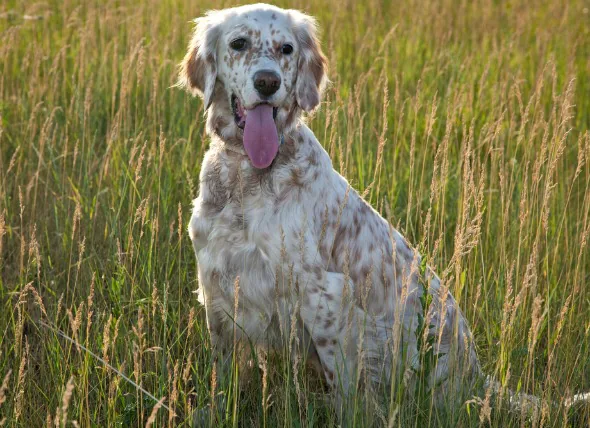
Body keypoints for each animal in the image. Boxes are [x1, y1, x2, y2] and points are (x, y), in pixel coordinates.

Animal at [180, 2, 590, 418]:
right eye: (239, 43)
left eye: (286, 49)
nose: (268, 83)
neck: (247, 178)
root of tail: (477, 375)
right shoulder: (217, 284)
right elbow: (223, 372)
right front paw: (215, 410)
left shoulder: (326, 296)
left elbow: (346, 392)